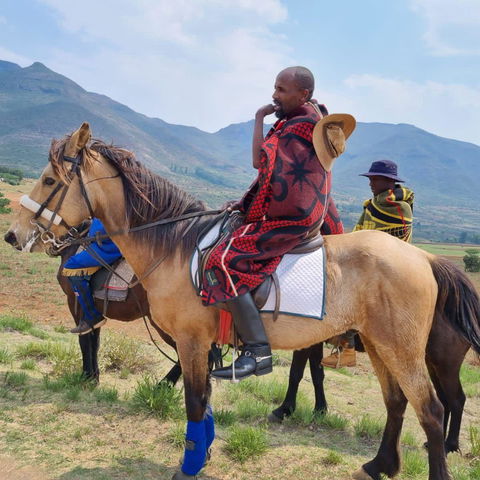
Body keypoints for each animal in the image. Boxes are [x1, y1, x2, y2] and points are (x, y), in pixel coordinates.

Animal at [4, 123, 480, 480]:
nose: (13, 234)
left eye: (49, 180)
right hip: (379, 344)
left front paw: (189, 465)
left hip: (405, 348)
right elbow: (204, 398)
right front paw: (204, 453)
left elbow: (195, 399)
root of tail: (424, 258)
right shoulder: (199, 342)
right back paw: (380, 465)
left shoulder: (191, 339)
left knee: (433, 409)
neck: (171, 245)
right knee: (397, 402)